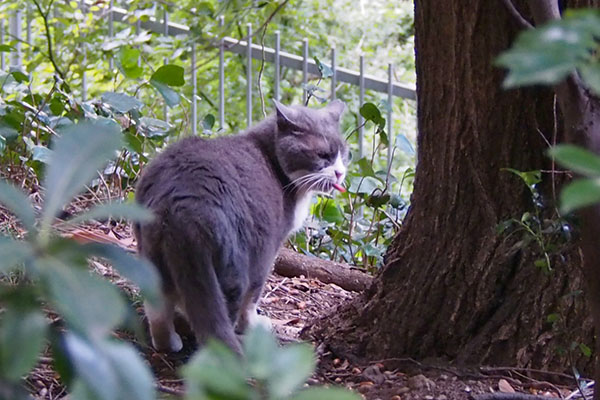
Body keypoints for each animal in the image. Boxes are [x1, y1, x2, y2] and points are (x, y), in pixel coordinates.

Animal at [132, 100, 346, 354]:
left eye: (344, 154)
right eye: (323, 155)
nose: (340, 172)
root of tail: (181, 207)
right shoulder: (268, 247)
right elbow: (253, 296)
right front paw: (254, 324)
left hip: (151, 256)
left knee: (158, 306)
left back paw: (169, 343)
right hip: (234, 266)